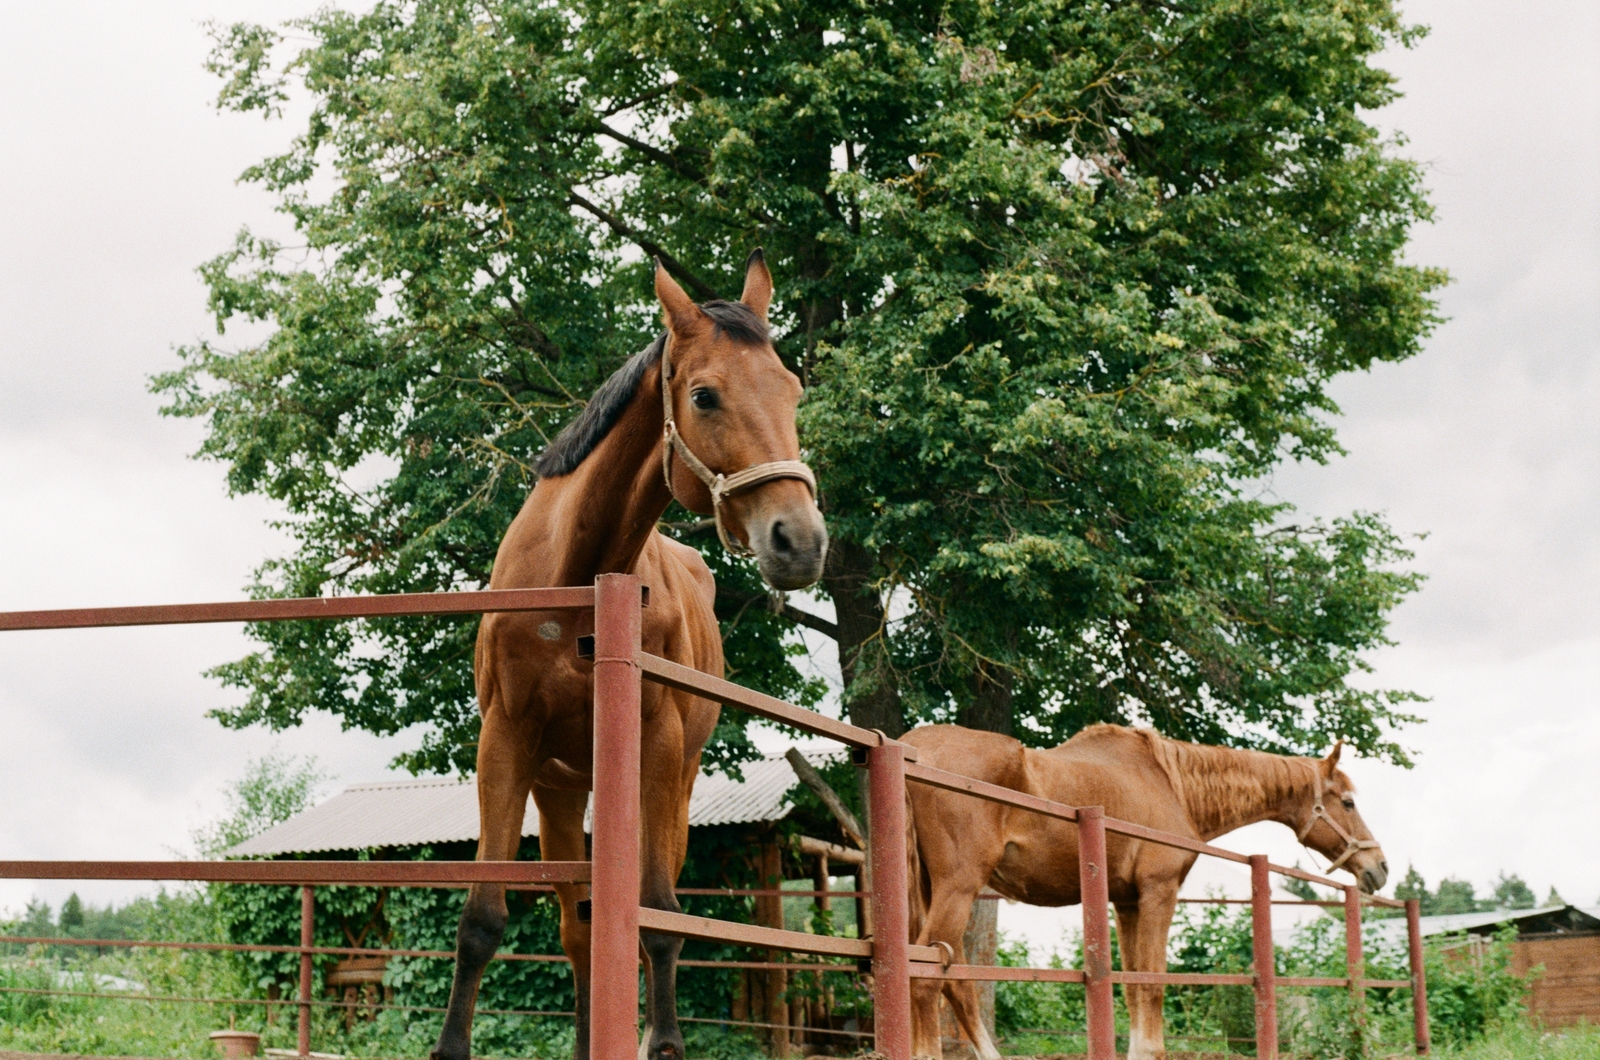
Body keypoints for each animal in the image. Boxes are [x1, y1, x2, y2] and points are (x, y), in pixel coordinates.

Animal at [432, 252, 832, 1060]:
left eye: (792, 390)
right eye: (705, 395)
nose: (800, 541)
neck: (576, 583)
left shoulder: (656, 748)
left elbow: (659, 918)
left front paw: (665, 1042)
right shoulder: (505, 746)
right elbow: (484, 919)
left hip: (670, 786)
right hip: (560, 793)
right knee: (580, 927)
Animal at [908, 723, 1395, 1060]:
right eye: (1347, 802)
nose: (1380, 867)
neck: (1171, 783)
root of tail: (912, 751)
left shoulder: (1125, 903)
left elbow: (1133, 986)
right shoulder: (1159, 893)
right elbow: (1154, 983)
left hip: (934, 893)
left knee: (955, 981)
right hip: (959, 887)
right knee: (926, 977)